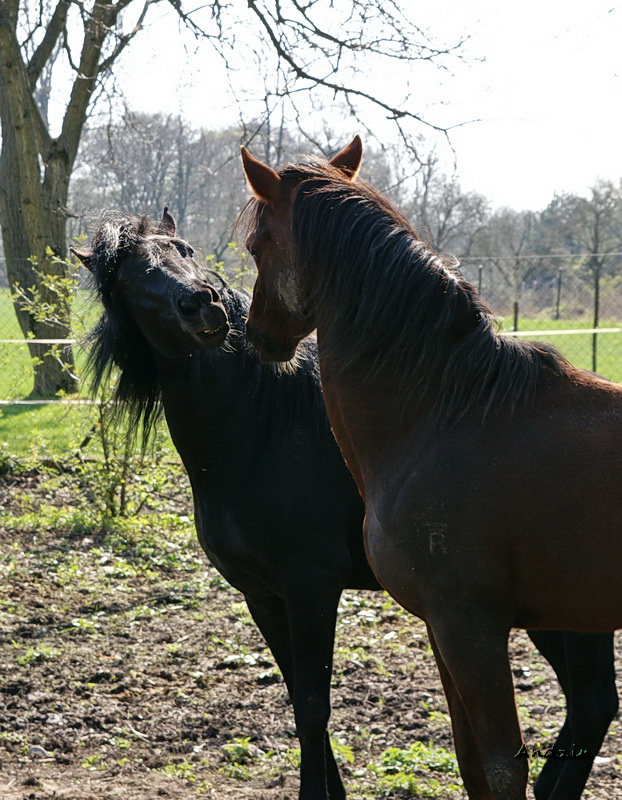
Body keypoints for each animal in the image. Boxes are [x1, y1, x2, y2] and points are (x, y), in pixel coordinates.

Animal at [240, 138, 621, 800]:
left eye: (256, 245)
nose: (258, 333)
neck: (446, 413)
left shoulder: (470, 627)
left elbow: (501, 764)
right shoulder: (442, 632)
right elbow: (471, 764)